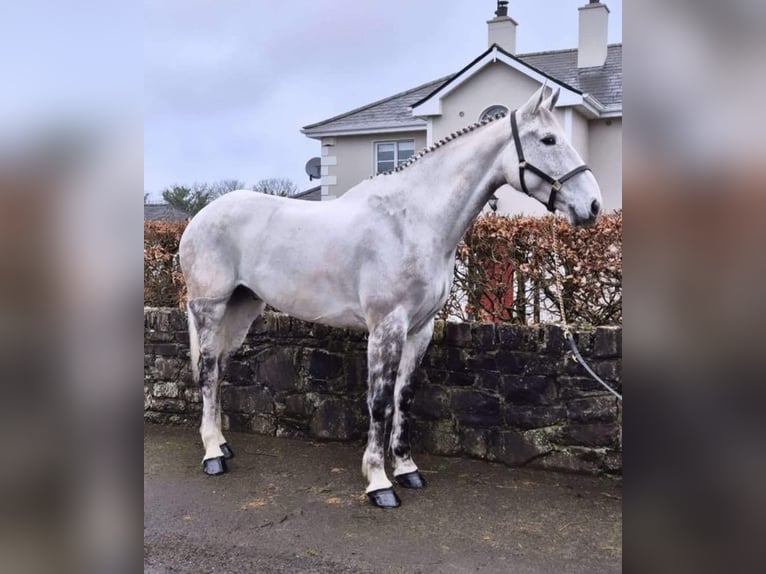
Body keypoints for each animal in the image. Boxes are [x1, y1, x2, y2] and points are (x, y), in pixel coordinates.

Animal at [182, 85, 608, 508]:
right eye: (548, 139)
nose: (593, 205)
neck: (414, 222)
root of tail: (199, 219)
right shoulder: (386, 327)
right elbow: (380, 402)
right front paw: (379, 483)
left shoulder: (420, 330)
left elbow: (404, 397)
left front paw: (406, 469)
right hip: (210, 309)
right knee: (208, 371)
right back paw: (212, 456)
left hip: (242, 308)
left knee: (219, 369)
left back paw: (223, 445)